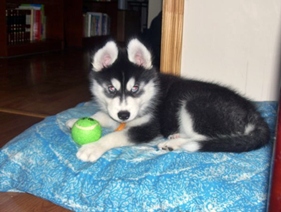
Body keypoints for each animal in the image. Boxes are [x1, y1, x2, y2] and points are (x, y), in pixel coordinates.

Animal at [66, 38, 270, 162]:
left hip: (194, 105)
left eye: (135, 88)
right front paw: (75, 121)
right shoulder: (114, 112)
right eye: (111, 88)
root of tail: (254, 114)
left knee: (206, 137)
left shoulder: (149, 126)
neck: (151, 94)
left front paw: (94, 147)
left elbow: (116, 135)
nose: (124, 115)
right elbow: (101, 114)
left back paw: (173, 143)